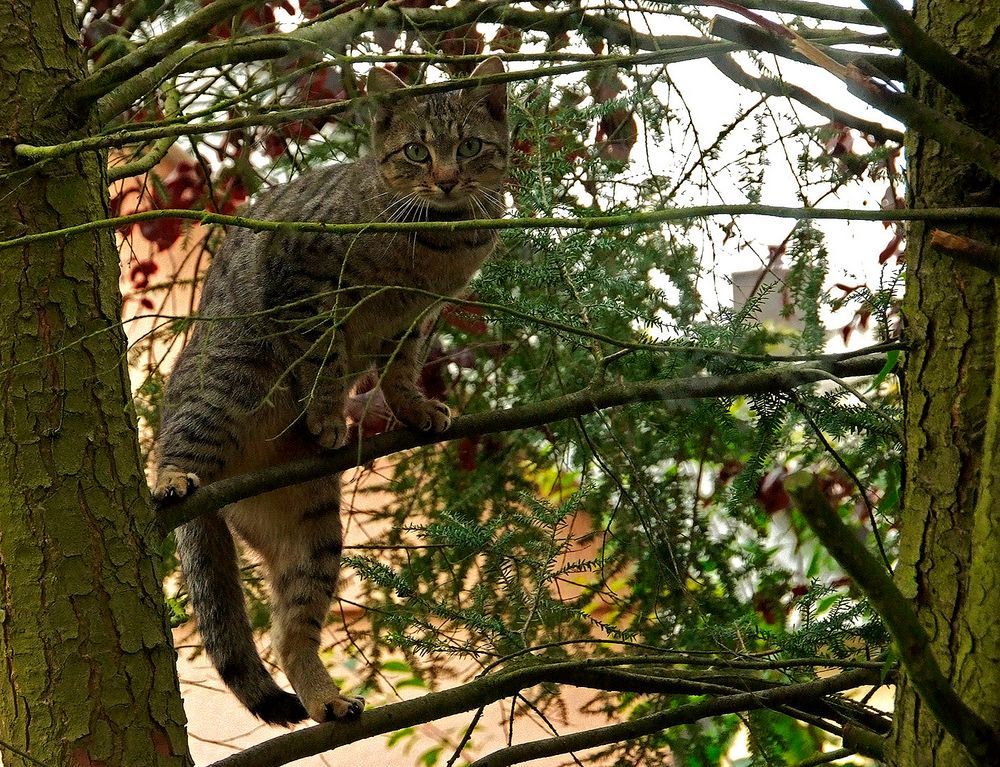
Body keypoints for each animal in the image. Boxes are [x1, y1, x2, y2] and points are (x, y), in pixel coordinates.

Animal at [154, 58, 508, 728]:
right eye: (417, 151)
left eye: (471, 146)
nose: (448, 179)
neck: (437, 243)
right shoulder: (305, 279)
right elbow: (323, 359)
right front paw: (326, 414)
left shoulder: (416, 318)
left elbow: (401, 368)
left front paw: (414, 407)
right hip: (224, 386)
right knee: (178, 444)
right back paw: (170, 477)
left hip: (312, 532)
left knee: (289, 631)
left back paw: (325, 698)